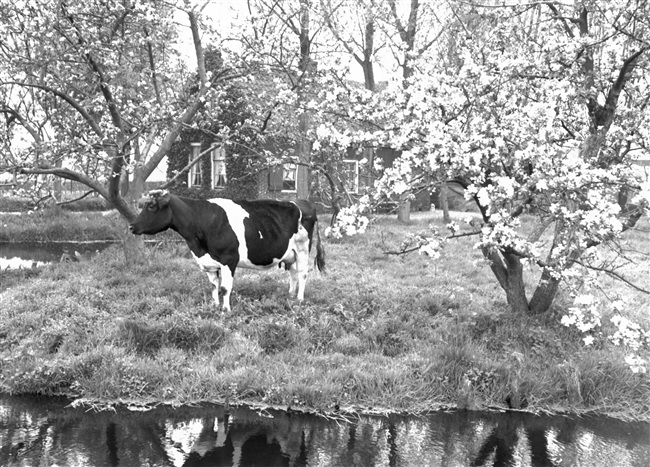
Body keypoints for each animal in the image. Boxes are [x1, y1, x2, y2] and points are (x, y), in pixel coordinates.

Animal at [128, 188, 324, 312]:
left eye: (152, 206)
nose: (131, 226)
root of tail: (303, 202)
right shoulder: (209, 263)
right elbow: (214, 286)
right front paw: (214, 307)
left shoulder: (229, 259)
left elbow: (225, 287)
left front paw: (226, 310)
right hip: (290, 252)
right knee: (292, 273)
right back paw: (290, 296)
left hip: (303, 248)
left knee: (302, 273)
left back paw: (299, 299)